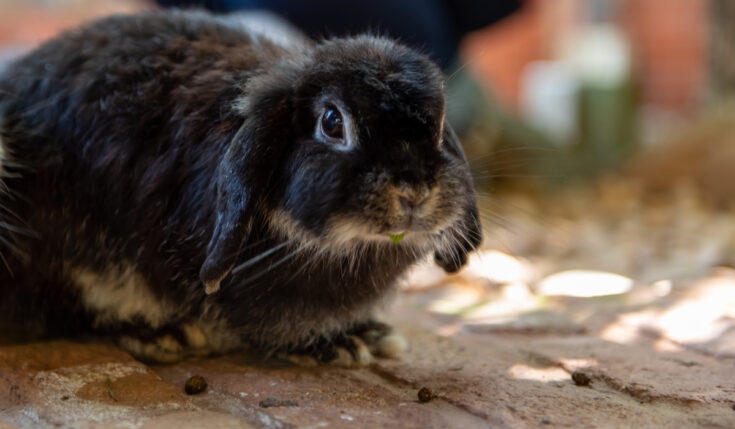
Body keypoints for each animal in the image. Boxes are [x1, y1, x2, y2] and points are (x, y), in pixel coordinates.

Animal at [0, 9, 482, 365]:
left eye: (438, 126)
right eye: (332, 122)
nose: (415, 191)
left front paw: (368, 334)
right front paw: (338, 345)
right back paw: (162, 334)